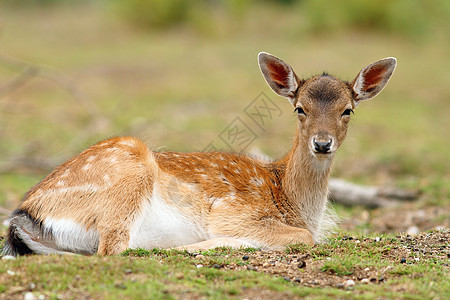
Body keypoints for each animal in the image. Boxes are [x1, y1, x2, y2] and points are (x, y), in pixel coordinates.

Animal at [4, 52, 398, 255]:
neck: (290, 199)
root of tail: (23, 216)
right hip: (129, 172)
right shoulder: (233, 211)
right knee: (117, 248)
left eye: (348, 110)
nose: (322, 143)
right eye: (300, 108)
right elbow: (303, 238)